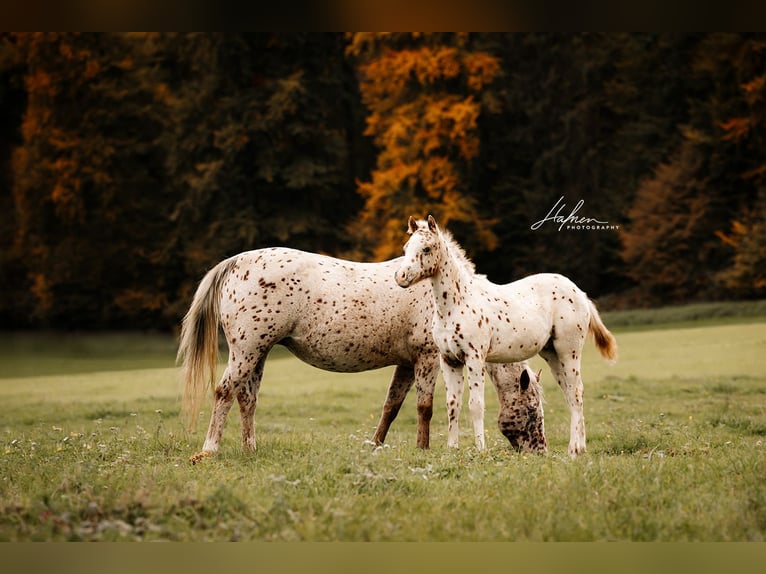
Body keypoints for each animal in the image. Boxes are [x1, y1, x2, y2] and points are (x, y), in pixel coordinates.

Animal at [177, 247, 548, 463]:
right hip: (246, 350)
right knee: (225, 392)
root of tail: (236, 261)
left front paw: (376, 446)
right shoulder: (428, 358)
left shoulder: (406, 364)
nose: (540, 451)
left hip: (259, 352)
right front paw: (423, 449)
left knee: (247, 399)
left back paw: (249, 448)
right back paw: (209, 449)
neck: (450, 294)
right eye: (532, 411)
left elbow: (391, 407)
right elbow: (425, 408)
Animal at [395, 215, 617, 457]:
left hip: (569, 351)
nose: (401, 277)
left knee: (576, 392)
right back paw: (579, 448)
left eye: (426, 248)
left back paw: (575, 449)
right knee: (569, 393)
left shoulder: (475, 358)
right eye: (406, 247)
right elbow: (453, 405)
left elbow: (476, 405)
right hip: (552, 354)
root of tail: (581, 294)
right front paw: (452, 449)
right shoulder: (449, 360)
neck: (455, 304)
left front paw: (480, 450)